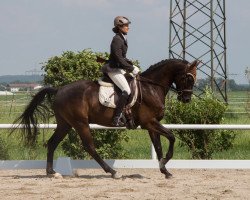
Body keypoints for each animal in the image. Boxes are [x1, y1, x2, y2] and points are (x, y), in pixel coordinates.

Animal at [13, 58, 198, 179]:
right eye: (188, 78)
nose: (186, 99)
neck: (151, 88)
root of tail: (59, 90)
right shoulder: (149, 122)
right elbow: (172, 137)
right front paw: (165, 163)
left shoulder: (151, 124)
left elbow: (158, 146)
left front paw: (165, 170)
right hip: (80, 123)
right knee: (89, 147)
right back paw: (112, 172)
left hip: (65, 124)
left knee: (52, 143)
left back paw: (52, 172)